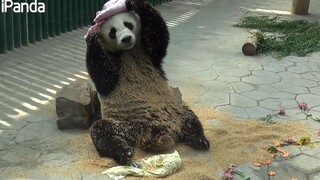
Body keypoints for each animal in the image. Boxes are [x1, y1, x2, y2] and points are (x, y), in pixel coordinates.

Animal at [85, 0, 210, 165]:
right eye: (112, 31)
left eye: (128, 24)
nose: (126, 38)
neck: (128, 51)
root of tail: (152, 132)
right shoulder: (111, 66)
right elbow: (103, 77)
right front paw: (91, 35)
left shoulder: (148, 53)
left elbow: (158, 34)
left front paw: (132, 3)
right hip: (124, 124)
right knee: (103, 132)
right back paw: (125, 153)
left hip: (174, 110)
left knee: (190, 117)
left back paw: (199, 140)